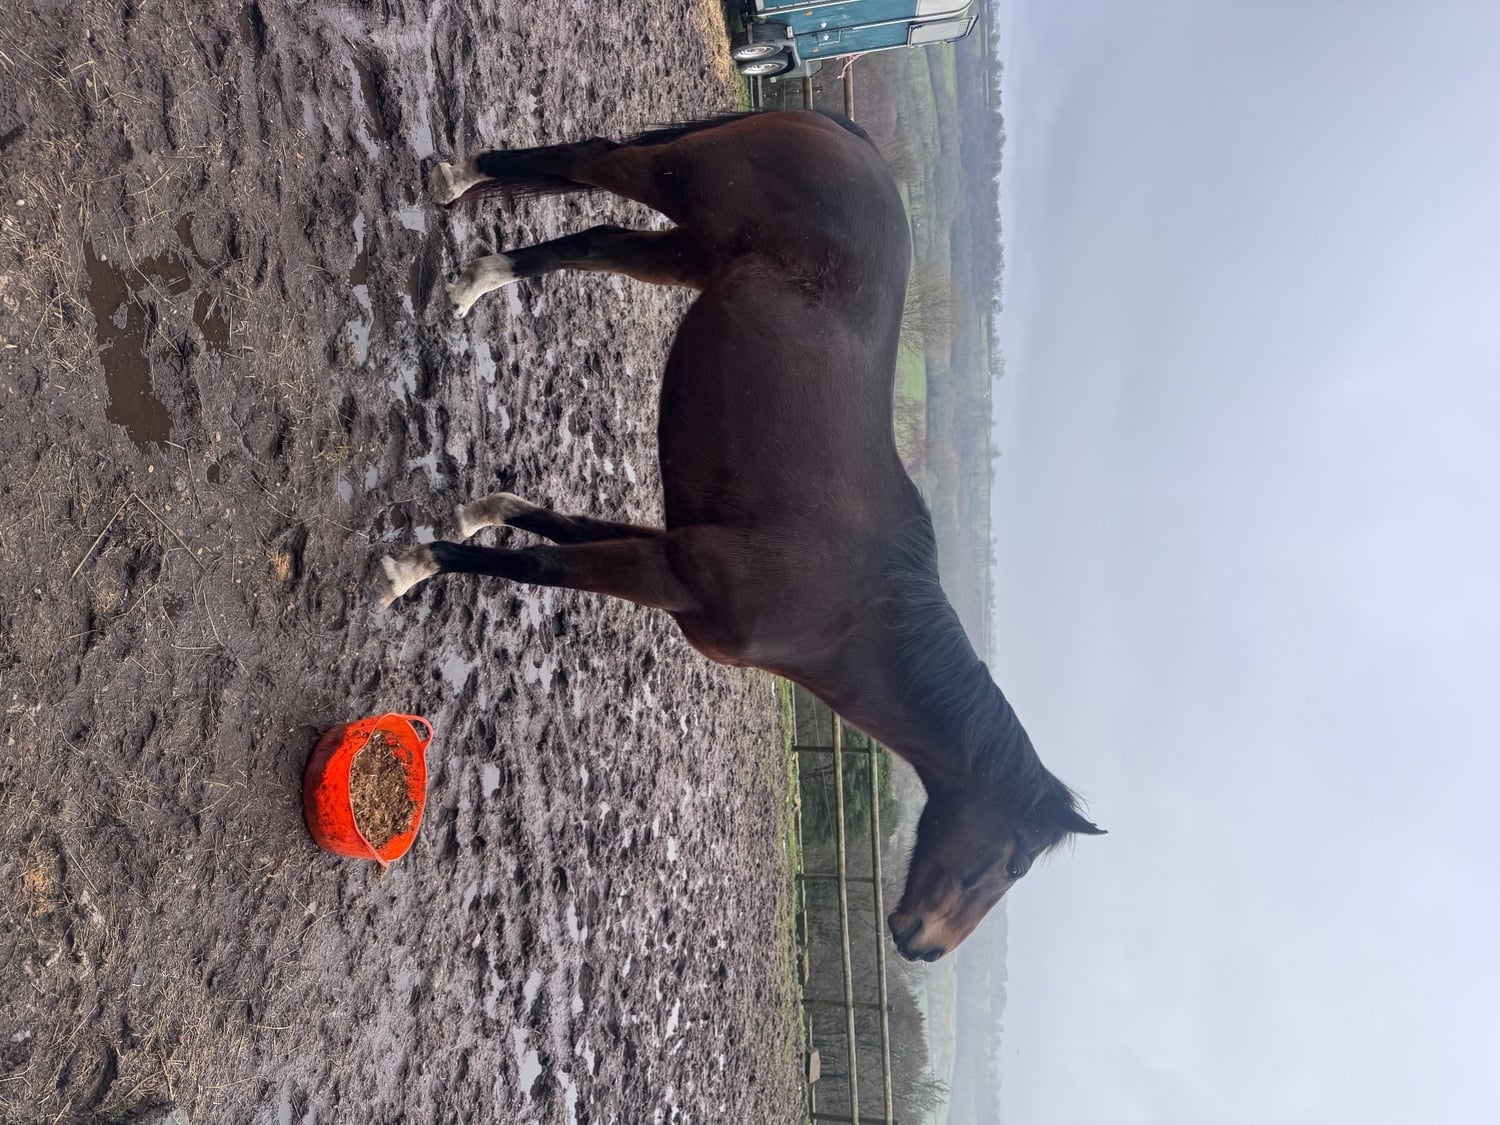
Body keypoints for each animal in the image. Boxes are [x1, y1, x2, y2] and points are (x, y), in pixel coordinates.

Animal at [379, 111, 1103, 962]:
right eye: (1014, 862)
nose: (924, 945)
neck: (847, 607)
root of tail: (844, 134)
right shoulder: (670, 566)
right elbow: (538, 566)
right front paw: (409, 567)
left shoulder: (667, 549)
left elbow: (550, 529)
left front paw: (474, 510)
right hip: (681, 186)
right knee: (592, 161)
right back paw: (460, 191)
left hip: (685, 252)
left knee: (591, 235)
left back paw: (472, 265)